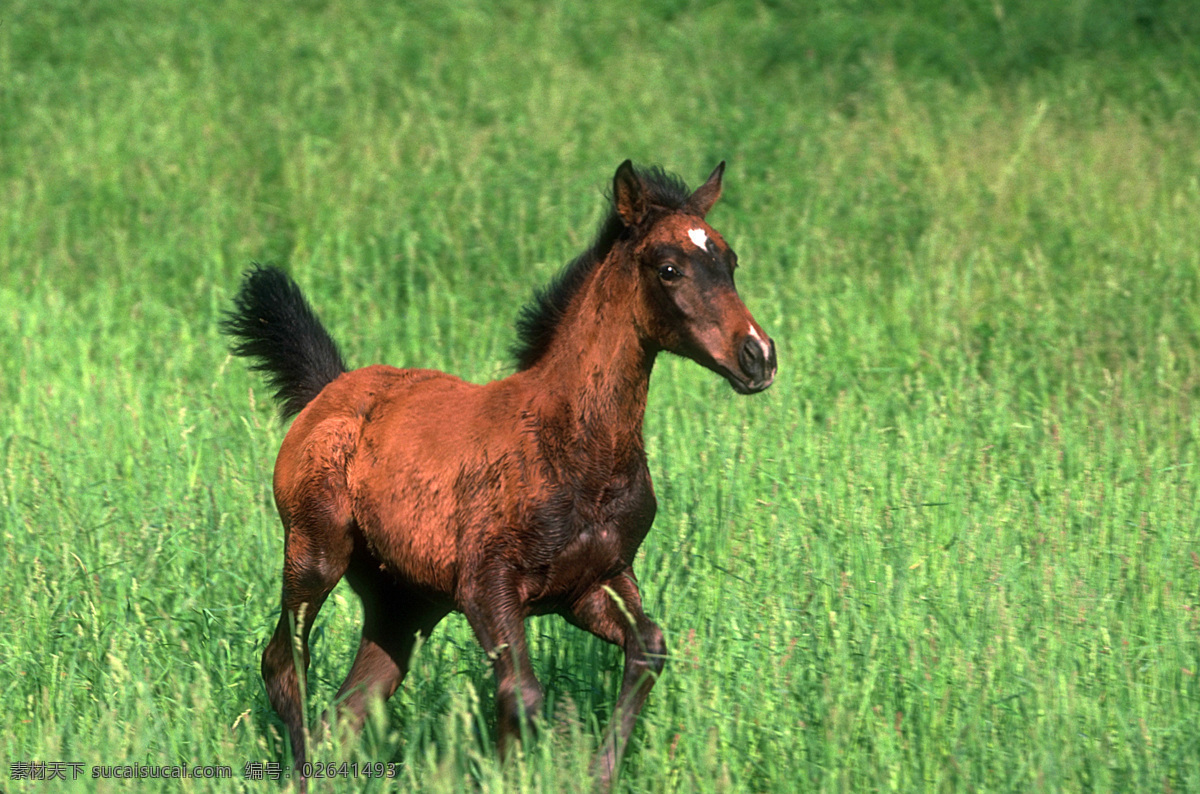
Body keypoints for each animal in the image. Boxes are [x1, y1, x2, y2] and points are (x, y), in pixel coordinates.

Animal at [222, 160, 776, 789]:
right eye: (669, 269)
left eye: (731, 261)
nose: (758, 356)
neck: (575, 448)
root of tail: (326, 391)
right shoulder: (487, 586)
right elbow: (523, 695)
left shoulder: (595, 581)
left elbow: (648, 650)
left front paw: (599, 775)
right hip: (314, 553)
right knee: (284, 664)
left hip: (404, 602)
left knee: (351, 705)